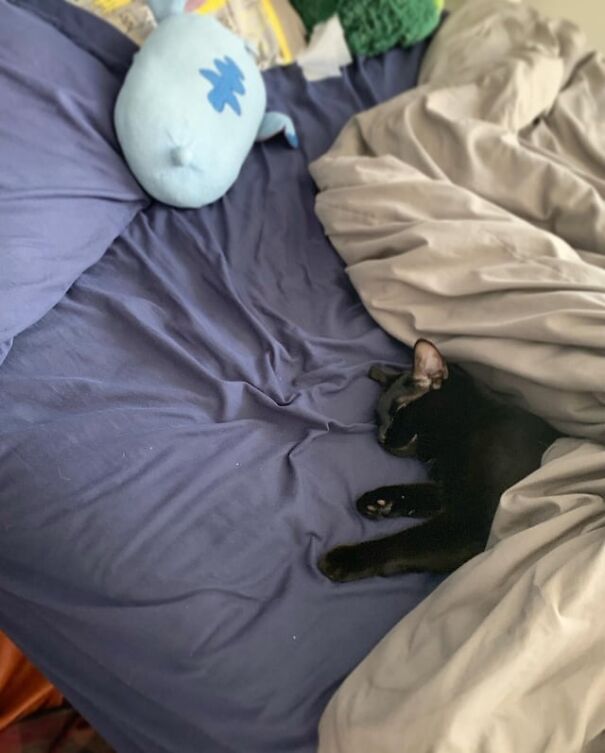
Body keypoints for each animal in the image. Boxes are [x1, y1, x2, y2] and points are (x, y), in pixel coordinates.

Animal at [318, 340, 560, 580]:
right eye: (378, 419)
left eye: (399, 410)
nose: (381, 436)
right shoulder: (451, 490)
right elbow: (414, 491)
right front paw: (378, 501)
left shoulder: (472, 517)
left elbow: (406, 542)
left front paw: (345, 559)